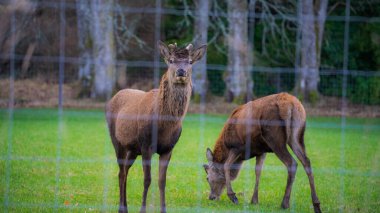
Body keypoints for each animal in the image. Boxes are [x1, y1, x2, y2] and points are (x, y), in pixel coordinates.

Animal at [107, 40, 206, 212]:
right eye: (171, 60)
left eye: (190, 62)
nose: (181, 71)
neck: (165, 125)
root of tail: (115, 96)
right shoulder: (146, 145)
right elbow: (147, 179)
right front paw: (142, 210)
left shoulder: (168, 149)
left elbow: (162, 181)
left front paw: (163, 209)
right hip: (117, 140)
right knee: (121, 172)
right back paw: (122, 208)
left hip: (133, 149)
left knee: (124, 171)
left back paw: (125, 206)